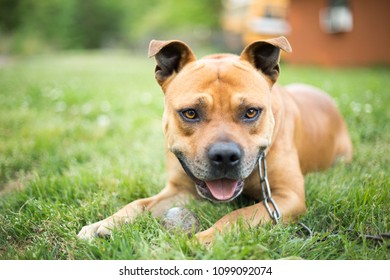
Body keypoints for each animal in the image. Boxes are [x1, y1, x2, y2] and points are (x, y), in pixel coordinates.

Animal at [77, 36, 352, 243]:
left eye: (251, 112)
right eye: (190, 113)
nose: (225, 156)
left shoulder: (287, 197)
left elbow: (238, 216)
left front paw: (201, 241)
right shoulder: (180, 190)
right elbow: (140, 203)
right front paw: (106, 223)